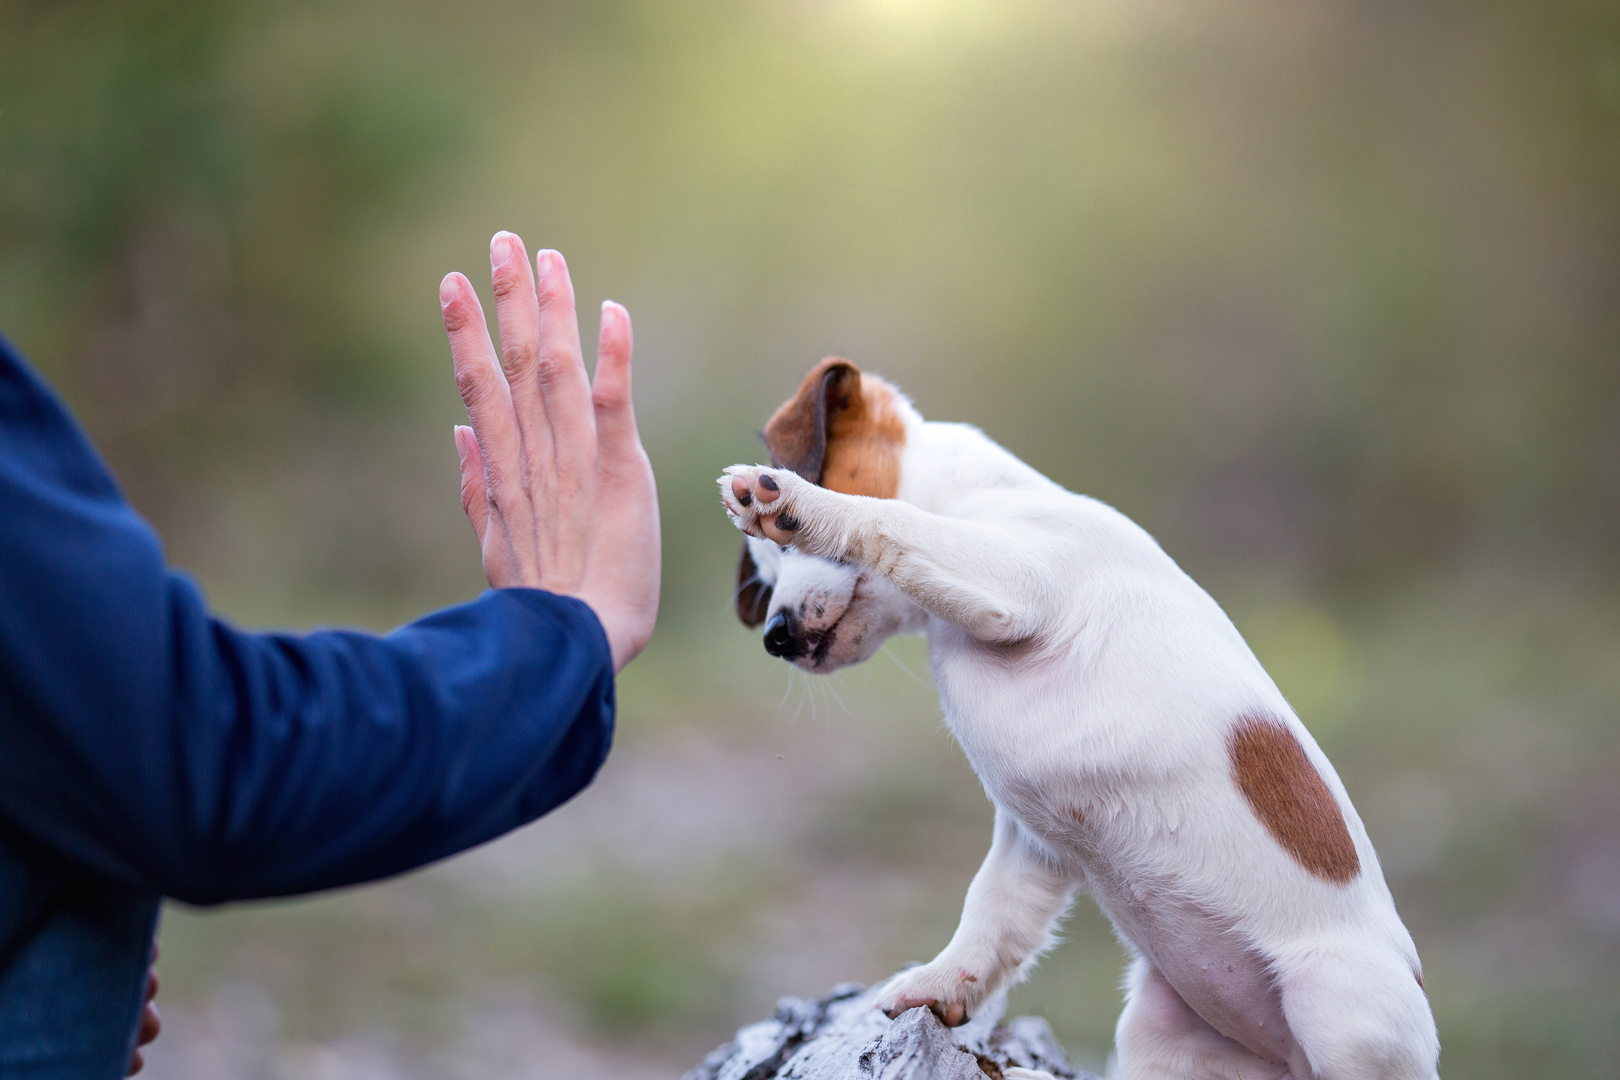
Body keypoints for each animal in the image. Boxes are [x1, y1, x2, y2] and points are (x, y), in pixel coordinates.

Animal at [722, 361, 1445, 1080]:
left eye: (789, 551)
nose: (776, 639)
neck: (986, 499)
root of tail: (1282, 1059)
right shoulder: (1028, 843)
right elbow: (990, 917)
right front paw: (942, 983)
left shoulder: (1013, 578)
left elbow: (893, 519)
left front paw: (788, 503)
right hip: (1161, 1040)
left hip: (1338, 1013)